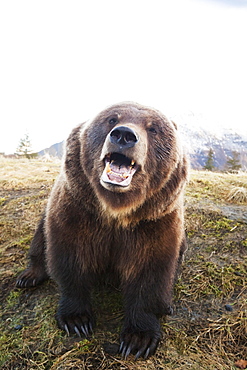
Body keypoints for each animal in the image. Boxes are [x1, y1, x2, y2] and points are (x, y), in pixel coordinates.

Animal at [16, 101, 188, 358]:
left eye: (153, 128)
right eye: (111, 119)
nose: (124, 135)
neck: (115, 211)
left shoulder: (154, 222)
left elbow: (150, 272)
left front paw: (138, 339)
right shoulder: (78, 211)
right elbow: (71, 259)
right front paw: (77, 320)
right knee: (40, 238)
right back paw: (29, 276)